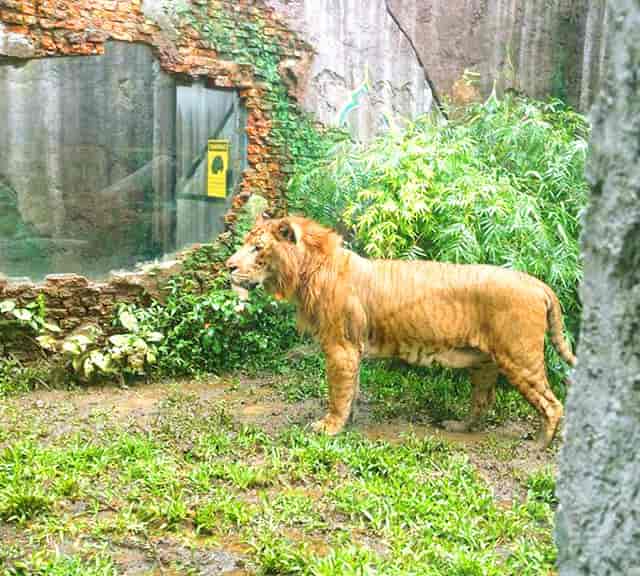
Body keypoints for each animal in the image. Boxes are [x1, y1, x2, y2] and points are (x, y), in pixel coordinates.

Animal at [228, 215, 576, 446]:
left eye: (257, 248)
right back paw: (459, 426)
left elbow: (338, 392)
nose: (229, 266)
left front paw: (330, 427)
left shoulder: (341, 346)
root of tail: (538, 283)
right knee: (483, 401)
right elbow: (352, 389)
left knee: (553, 404)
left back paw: (538, 443)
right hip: (486, 362)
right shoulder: (351, 350)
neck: (308, 271)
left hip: (519, 357)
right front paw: (349, 422)